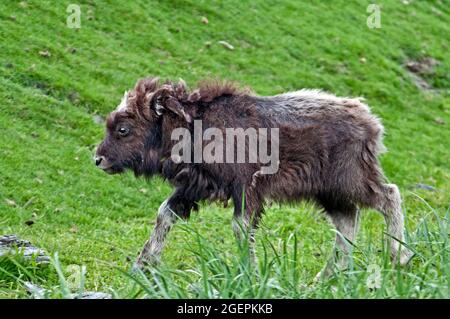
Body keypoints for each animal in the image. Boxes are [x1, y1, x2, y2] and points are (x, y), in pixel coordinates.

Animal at [95, 77, 414, 278]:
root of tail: (371, 122)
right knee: (348, 223)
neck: (193, 126)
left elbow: (240, 228)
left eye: (123, 128)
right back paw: (328, 277)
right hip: (330, 194)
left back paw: (399, 257)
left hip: (349, 182)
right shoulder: (195, 188)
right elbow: (165, 214)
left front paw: (249, 272)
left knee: (388, 195)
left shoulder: (246, 189)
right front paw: (141, 266)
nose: (98, 159)